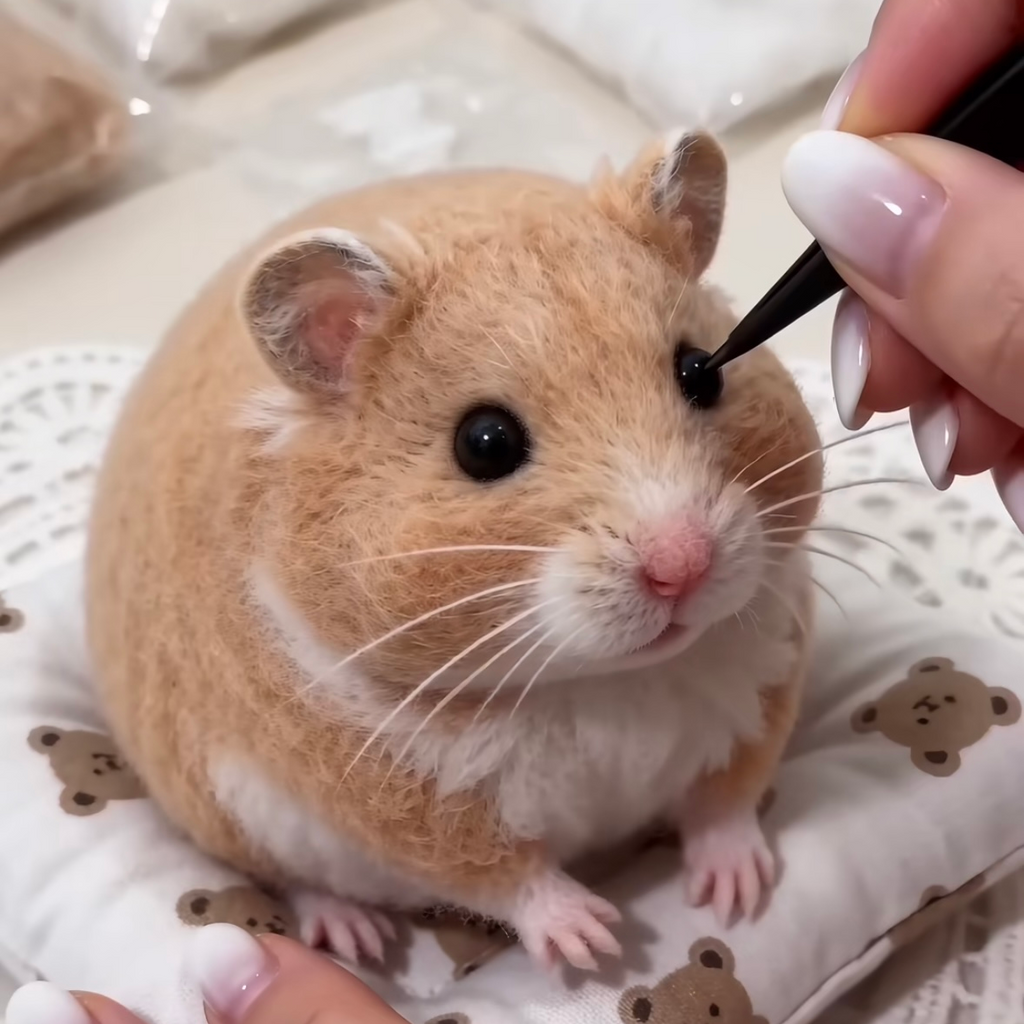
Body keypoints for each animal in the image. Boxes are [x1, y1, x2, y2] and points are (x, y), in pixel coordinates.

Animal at [86, 130, 823, 971]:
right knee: (297, 881)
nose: (684, 566)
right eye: (485, 442)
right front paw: (595, 943)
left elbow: (726, 799)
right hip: (231, 815)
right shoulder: (394, 798)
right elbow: (500, 873)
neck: (601, 683)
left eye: (701, 372)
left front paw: (737, 897)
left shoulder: (765, 678)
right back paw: (359, 938)